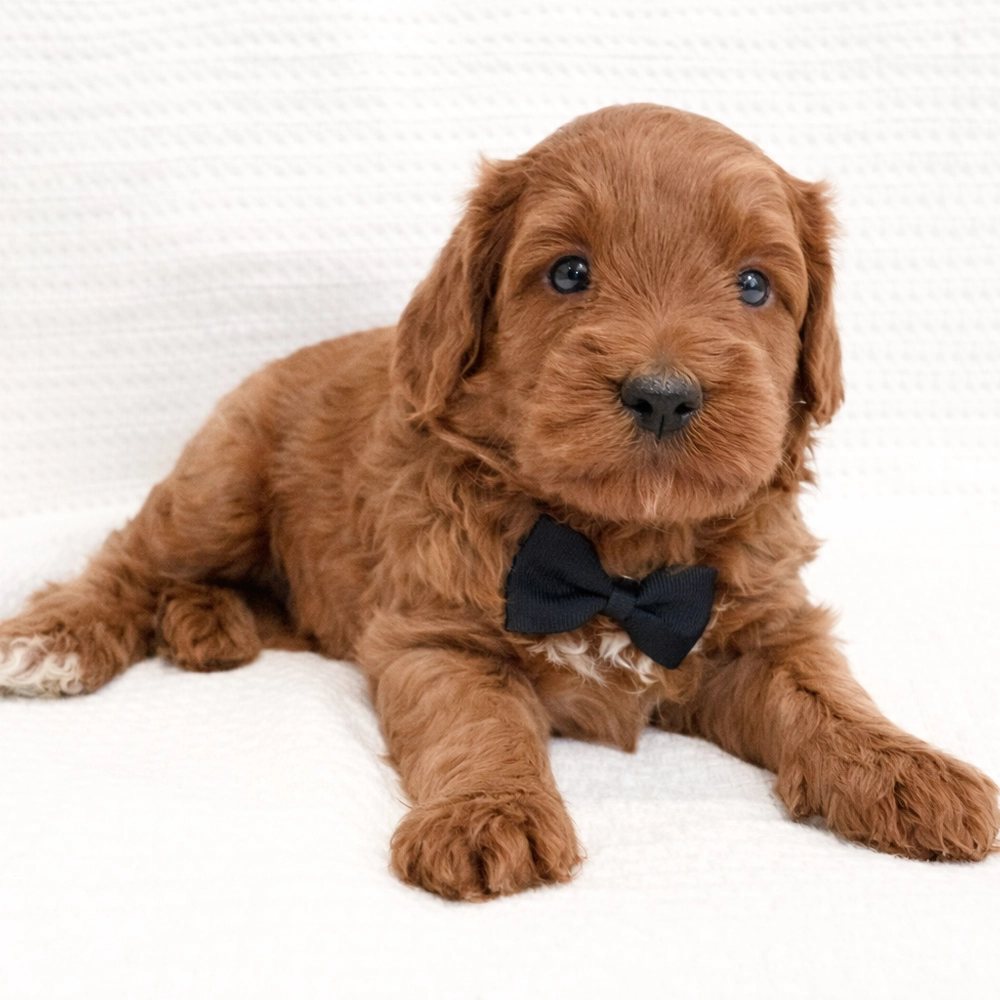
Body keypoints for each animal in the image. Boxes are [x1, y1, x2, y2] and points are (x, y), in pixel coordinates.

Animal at [1, 104, 997, 901]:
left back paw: (210, 623)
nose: (664, 395)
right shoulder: (438, 635)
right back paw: (57, 640)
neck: (615, 553)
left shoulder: (766, 628)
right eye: (568, 273)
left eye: (755, 284)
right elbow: (478, 725)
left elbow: (827, 694)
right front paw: (489, 816)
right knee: (131, 557)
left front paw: (909, 770)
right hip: (221, 483)